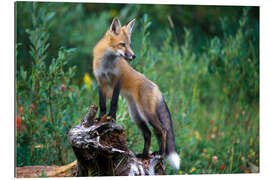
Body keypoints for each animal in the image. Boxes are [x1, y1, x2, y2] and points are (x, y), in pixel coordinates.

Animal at [93, 17, 181, 169]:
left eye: (130, 44)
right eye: (122, 44)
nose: (133, 56)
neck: (106, 64)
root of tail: (157, 88)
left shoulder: (118, 79)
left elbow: (114, 102)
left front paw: (111, 118)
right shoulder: (100, 82)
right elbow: (102, 104)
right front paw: (100, 118)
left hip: (147, 113)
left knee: (163, 130)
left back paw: (161, 153)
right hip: (136, 116)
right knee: (149, 133)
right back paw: (144, 155)